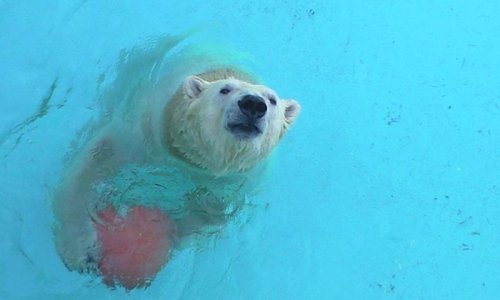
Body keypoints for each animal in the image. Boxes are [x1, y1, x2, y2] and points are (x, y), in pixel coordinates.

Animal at [52, 65, 298, 286]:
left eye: (272, 100)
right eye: (225, 89)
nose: (253, 104)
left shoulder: (233, 182)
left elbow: (208, 212)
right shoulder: (144, 130)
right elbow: (96, 160)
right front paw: (79, 249)